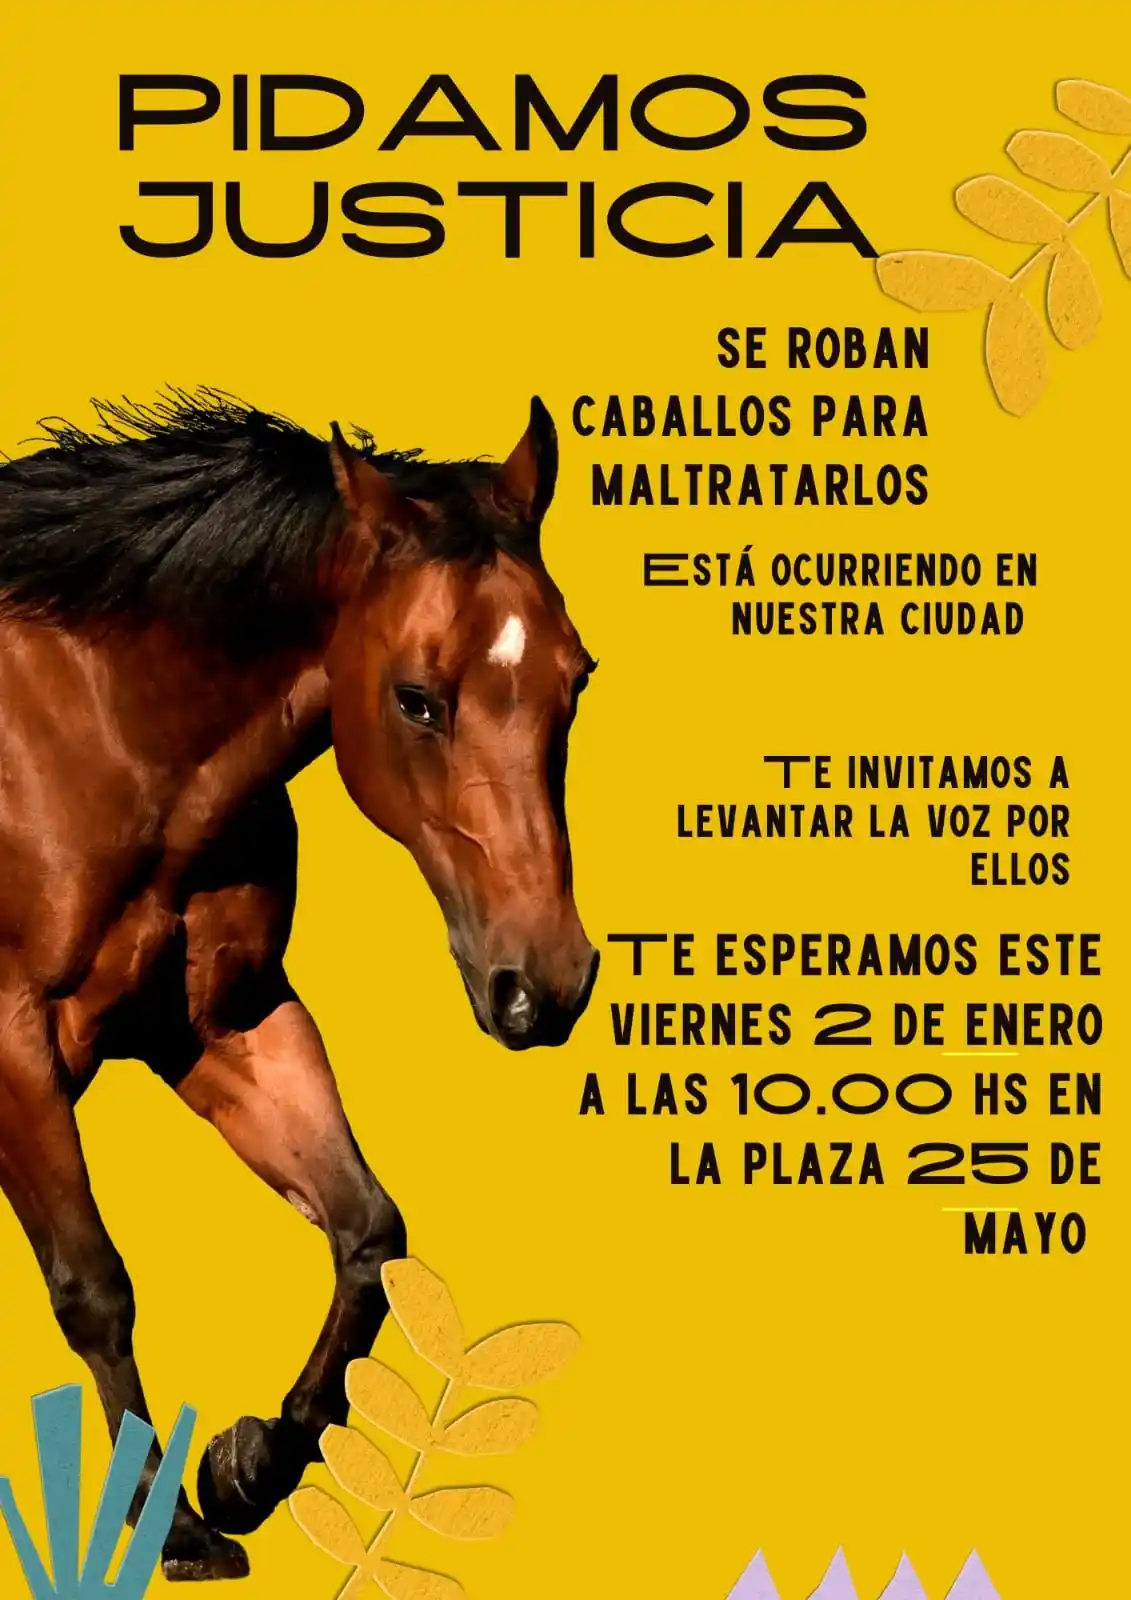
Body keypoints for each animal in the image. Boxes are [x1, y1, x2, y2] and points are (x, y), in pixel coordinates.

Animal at [0, 390, 598, 1581]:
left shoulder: (225, 1023)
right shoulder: (12, 1044)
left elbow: (369, 1231)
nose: (544, 985)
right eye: (417, 700)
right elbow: (94, 1284)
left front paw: (246, 1466)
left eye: (577, 678)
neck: (91, 733)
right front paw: (174, 1526)